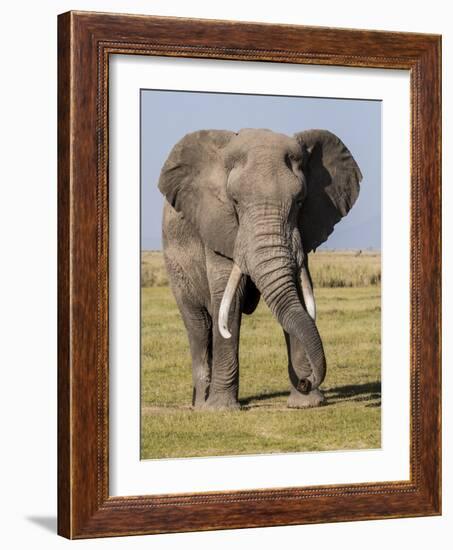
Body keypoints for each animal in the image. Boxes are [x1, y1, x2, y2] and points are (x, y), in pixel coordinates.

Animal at [157, 129, 362, 412]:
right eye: (234, 202)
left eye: (300, 202)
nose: (306, 381)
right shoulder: (218, 226)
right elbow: (228, 302)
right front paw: (221, 410)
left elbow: (297, 295)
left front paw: (306, 404)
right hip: (174, 263)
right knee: (199, 325)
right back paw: (200, 405)